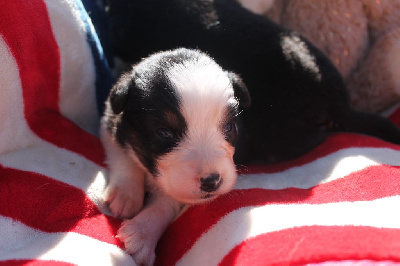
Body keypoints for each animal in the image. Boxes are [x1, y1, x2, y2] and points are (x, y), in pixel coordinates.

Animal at [101, 48, 250, 266]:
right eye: (164, 133)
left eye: (228, 127)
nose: (212, 181)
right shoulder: (110, 120)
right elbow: (124, 157)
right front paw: (126, 195)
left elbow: (167, 202)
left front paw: (142, 234)